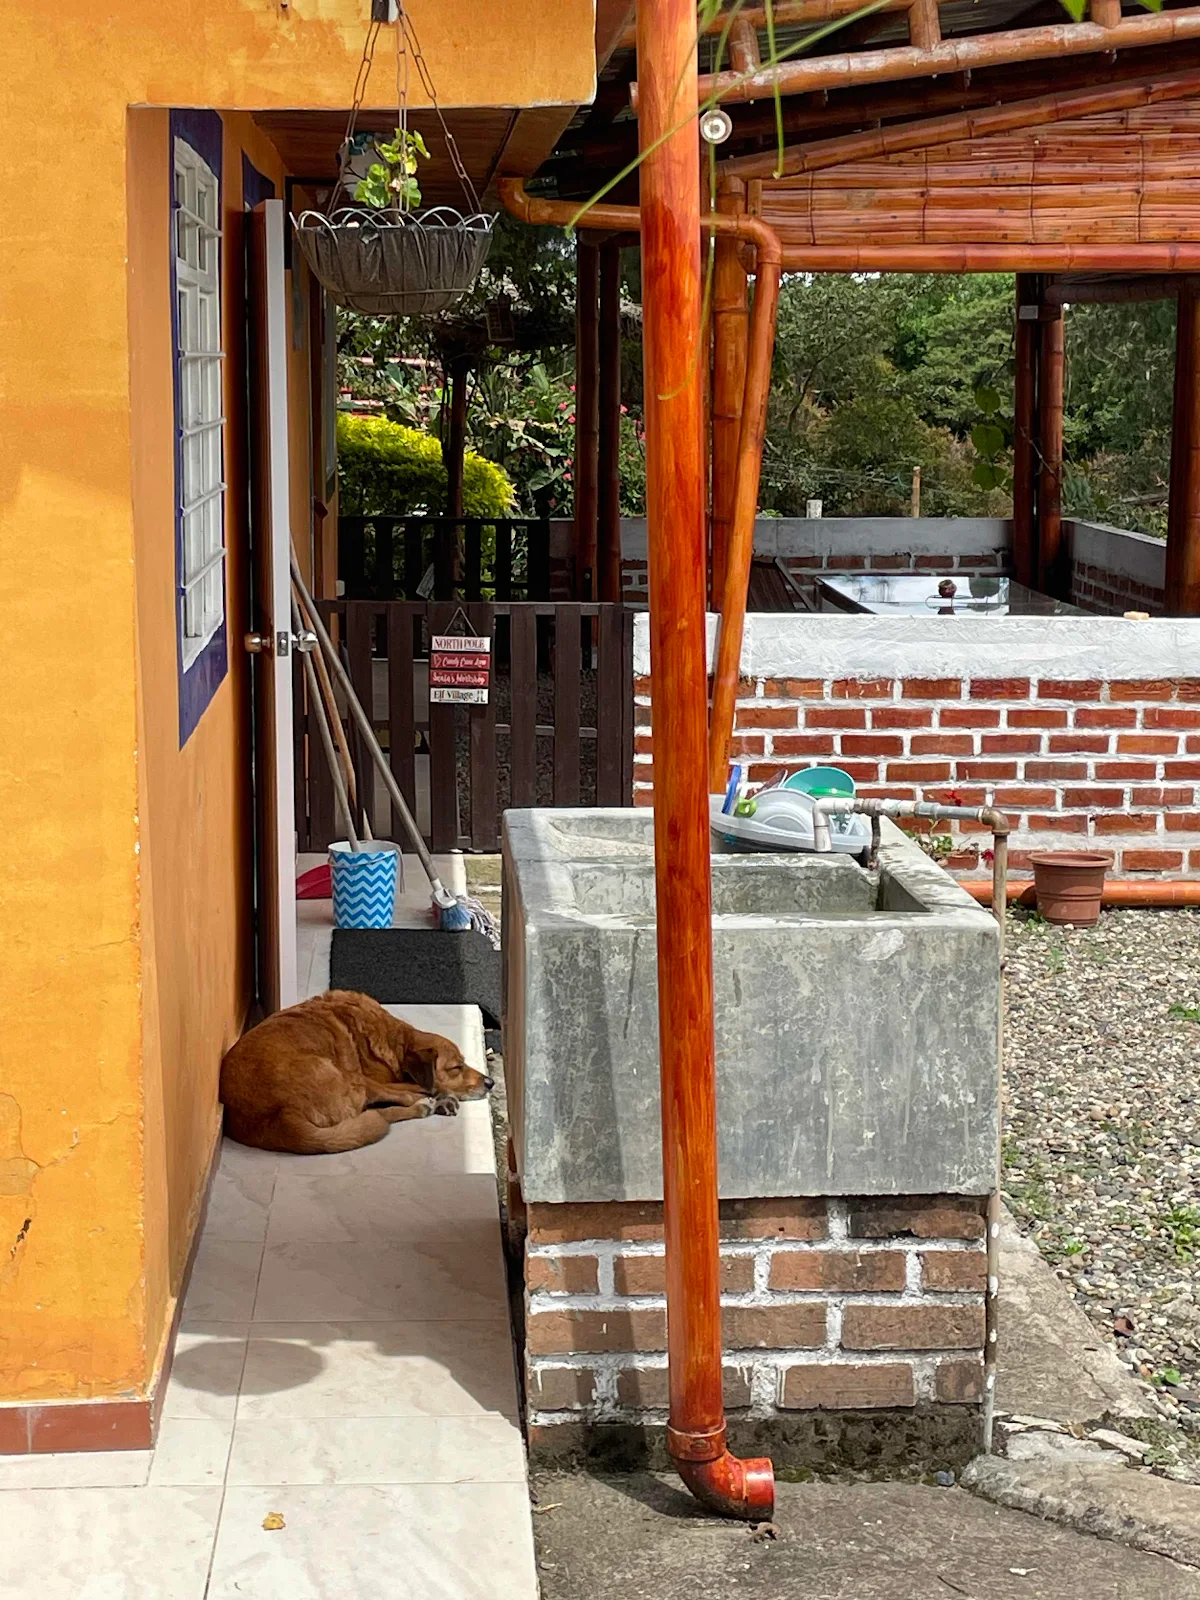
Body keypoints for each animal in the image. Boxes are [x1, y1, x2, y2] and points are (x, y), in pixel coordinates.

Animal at [219, 990, 493, 1155]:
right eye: (456, 1067)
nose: (490, 1082)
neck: (394, 1039)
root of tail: (278, 1115)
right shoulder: (375, 1079)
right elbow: (416, 1087)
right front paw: (439, 1094)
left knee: (377, 1113)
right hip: (346, 1076)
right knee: (390, 1107)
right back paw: (427, 1104)